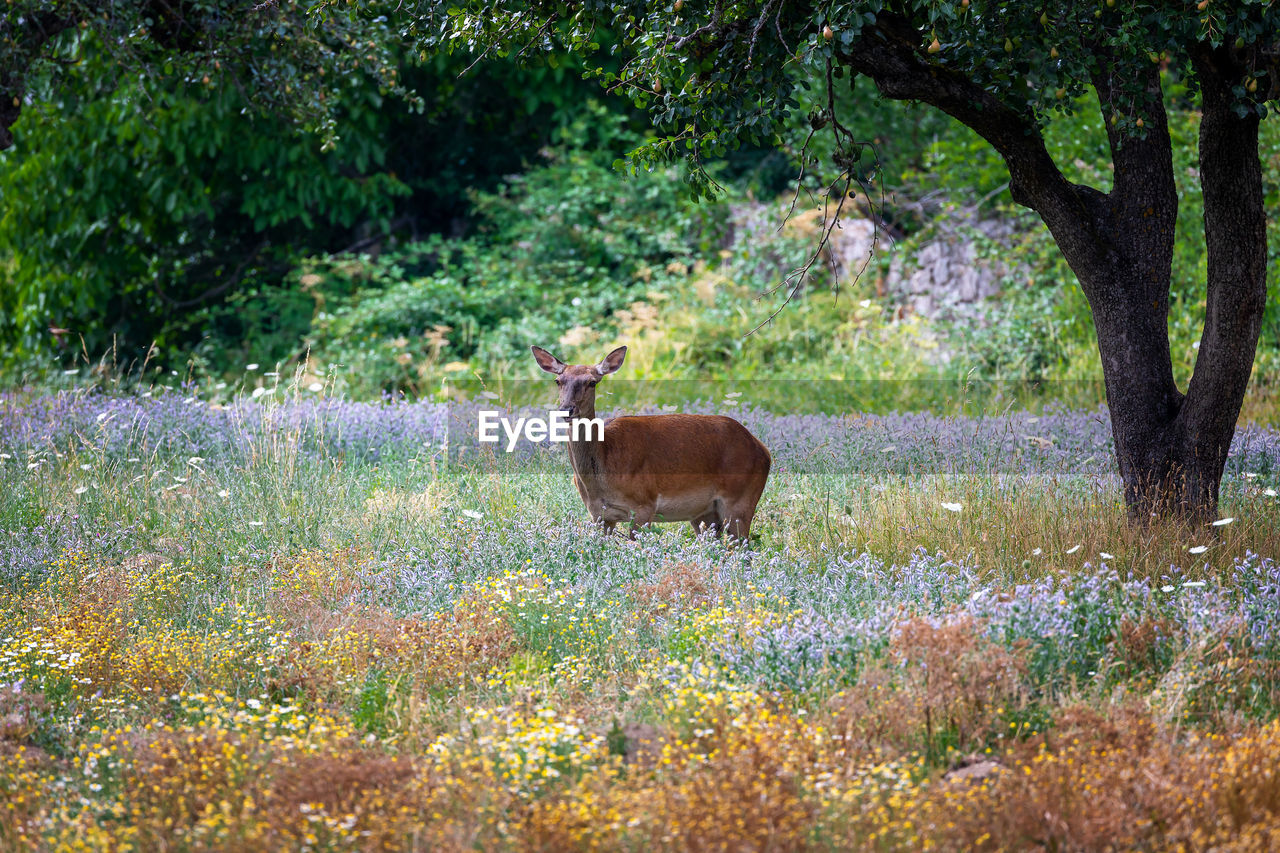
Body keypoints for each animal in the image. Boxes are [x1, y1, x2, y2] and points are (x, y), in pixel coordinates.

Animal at [529, 343, 768, 537]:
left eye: (592, 382)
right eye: (558, 380)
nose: (566, 409)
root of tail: (763, 450)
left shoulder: (645, 504)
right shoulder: (598, 515)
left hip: (740, 500)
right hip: (705, 514)